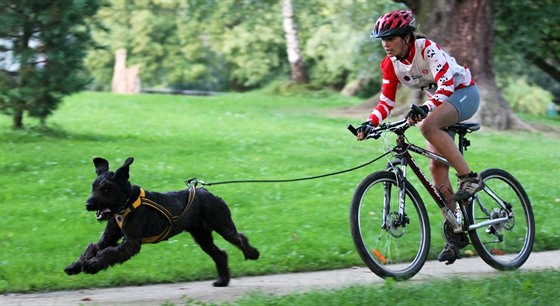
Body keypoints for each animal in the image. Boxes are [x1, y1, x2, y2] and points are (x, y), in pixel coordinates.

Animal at [65, 158, 260, 286]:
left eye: (106, 189)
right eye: (93, 187)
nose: (88, 204)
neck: (126, 204)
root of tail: (207, 192)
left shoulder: (131, 243)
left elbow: (107, 253)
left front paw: (92, 265)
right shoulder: (108, 238)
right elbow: (93, 248)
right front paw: (75, 266)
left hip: (222, 224)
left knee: (239, 238)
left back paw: (252, 254)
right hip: (202, 235)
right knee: (220, 254)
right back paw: (223, 281)